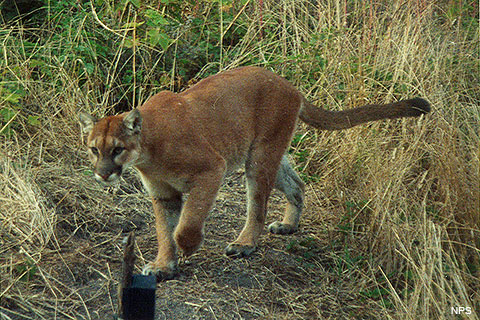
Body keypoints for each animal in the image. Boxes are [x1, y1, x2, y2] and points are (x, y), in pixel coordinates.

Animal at [79, 65, 432, 280]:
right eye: (94, 149)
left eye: (117, 149)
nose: (103, 174)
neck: (148, 150)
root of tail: (290, 86)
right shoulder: (163, 194)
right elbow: (164, 230)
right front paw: (164, 265)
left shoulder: (211, 169)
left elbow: (186, 224)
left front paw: (188, 248)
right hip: (269, 153)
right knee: (296, 184)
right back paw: (288, 225)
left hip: (259, 158)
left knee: (258, 208)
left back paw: (245, 243)